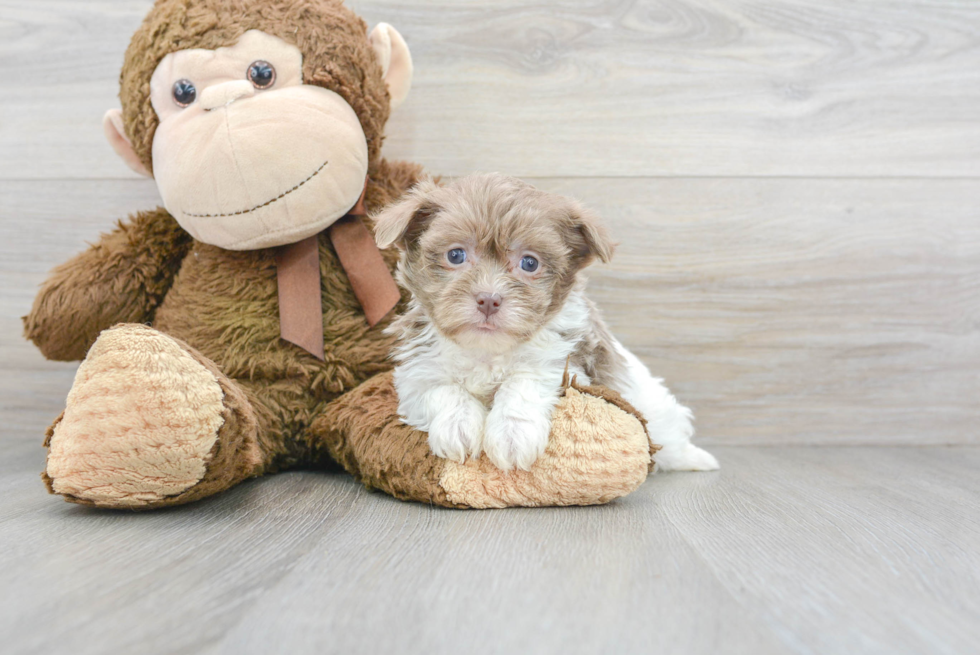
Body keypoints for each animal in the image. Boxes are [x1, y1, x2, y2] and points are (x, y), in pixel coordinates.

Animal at [376, 173, 720, 472]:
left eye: (530, 263)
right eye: (456, 255)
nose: (488, 299)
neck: (487, 350)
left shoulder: (567, 363)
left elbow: (525, 380)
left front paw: (512, 436)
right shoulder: (417, 371)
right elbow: (440, 388)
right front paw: (457, 427)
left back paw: (694, 459)